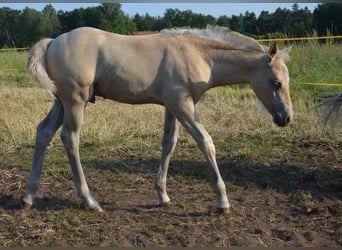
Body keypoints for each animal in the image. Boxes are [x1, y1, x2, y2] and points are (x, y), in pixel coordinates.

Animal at [22, 25, 292, 214]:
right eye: (276, 83)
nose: (286, 117)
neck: (198, 53)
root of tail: (53, 42)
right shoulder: (183, 105)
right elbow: (206, 142)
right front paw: (222, 202)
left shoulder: (172, 107)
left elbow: (169, 144)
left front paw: (163, 195)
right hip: (76, 101)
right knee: (70, 138)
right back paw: (90, 201)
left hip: (62, 101)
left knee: (43, 132)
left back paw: (29, 197)